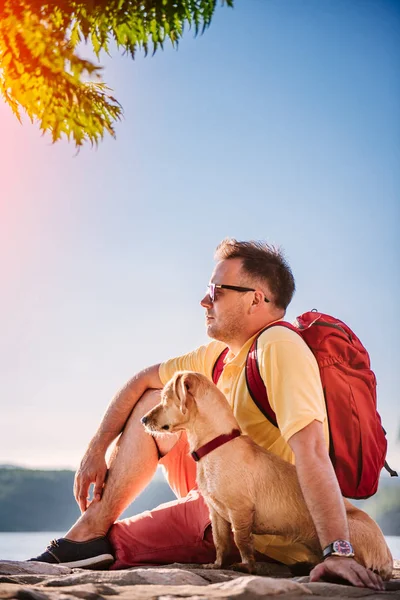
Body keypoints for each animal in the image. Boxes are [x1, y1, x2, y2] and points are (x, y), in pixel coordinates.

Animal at [141, 368, 394, 580]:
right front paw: (216, 565)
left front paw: (246, 567)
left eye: (165, 399)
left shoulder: (240, 511)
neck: (216, 445)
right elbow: (221, 542)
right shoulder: (216, 513)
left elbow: (241, 541)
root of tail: (389, 559)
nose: (143, 419)